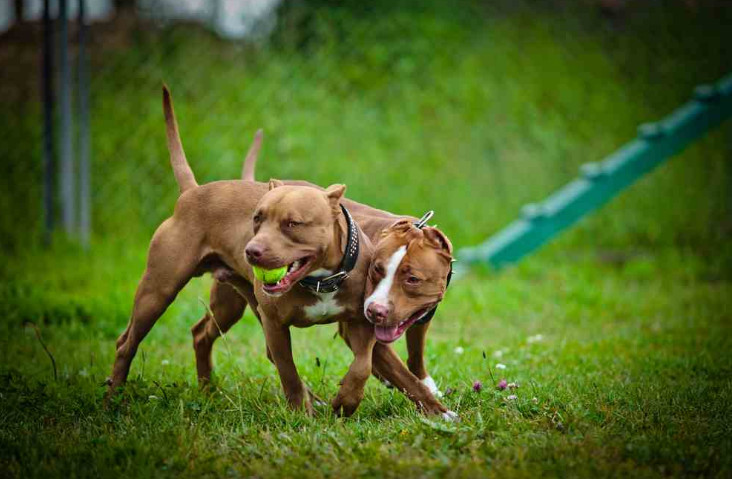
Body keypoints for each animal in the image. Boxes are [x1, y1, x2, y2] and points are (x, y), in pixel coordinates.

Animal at [108, 87, 452, 420]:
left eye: (412, 279)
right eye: (256, 219)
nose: (252, 250)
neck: (321, 280)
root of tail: (192, 191)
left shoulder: (381, 323)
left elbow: (386, 365)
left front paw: (429, 405)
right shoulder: (286, 324)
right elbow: (294, 370)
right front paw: (304, 413)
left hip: (233, 300)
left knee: (202, 333)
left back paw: (210, 391)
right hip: (159, 289)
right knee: (128, 342)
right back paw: (114, 399)